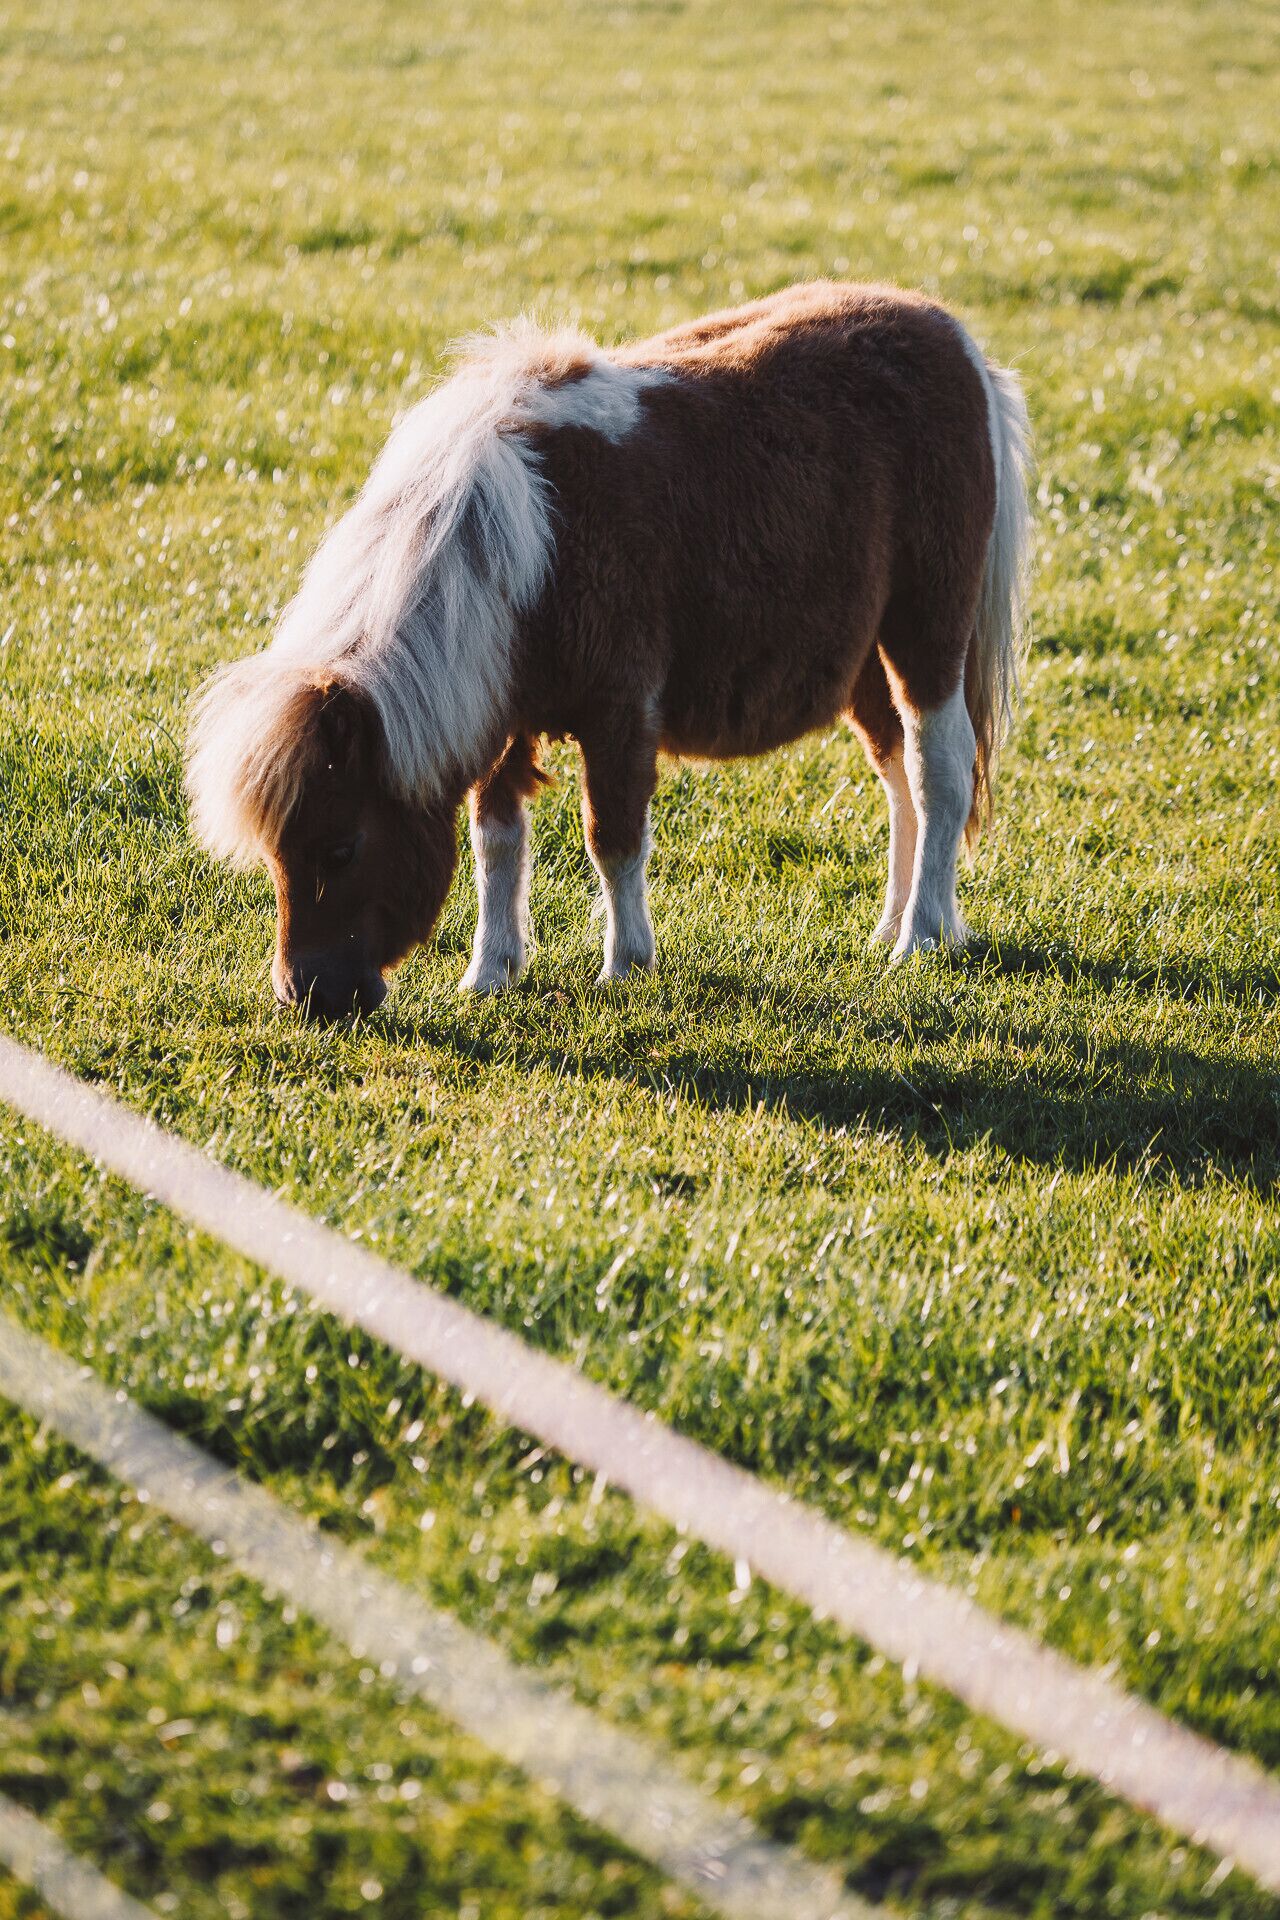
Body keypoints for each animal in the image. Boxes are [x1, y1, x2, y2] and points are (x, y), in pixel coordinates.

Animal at [186, 280, 1031, 1020]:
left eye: (340, 847)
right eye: (276, 852)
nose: (308, 997)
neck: (526, 548)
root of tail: (951, 335)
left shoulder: (621, 711)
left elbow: (612, 838)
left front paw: (626, 963)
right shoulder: (502, 717)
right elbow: (497, 843)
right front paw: (491, 971)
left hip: (927, 632)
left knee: (937, 769)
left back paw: (921, 937)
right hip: (865, 661)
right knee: (897, 775)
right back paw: (895, 923)